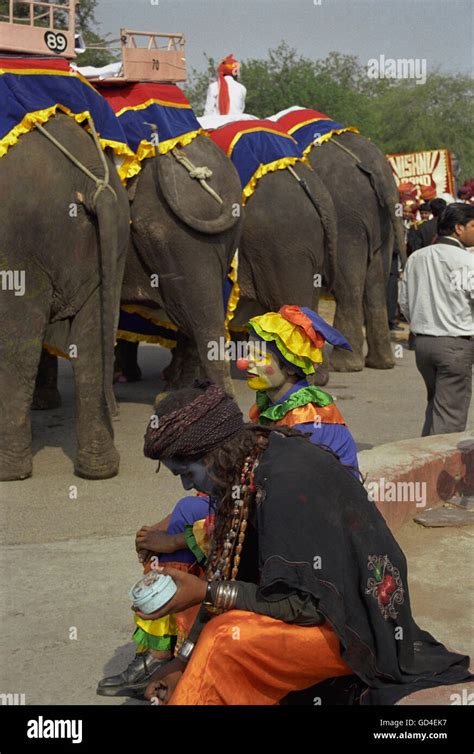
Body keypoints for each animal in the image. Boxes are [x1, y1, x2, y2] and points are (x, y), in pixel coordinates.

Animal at [0, 114, 130, 478]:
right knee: (94, 342)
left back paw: (9, 472)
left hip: (21, 245)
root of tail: (93, 184)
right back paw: (99, 469)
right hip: (114, 244)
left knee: (19, 347)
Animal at [304, 133, 404, 374]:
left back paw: (343, 365)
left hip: (346, 220)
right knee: (375, 284)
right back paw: (381, 363)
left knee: (349, 287)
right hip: (380, 223)